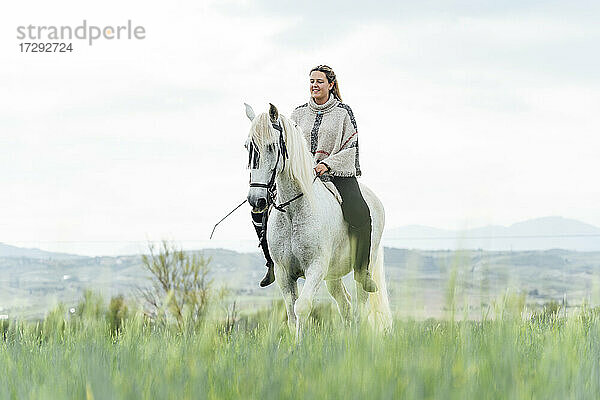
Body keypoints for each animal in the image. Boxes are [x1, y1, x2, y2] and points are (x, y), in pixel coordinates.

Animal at [245, 102, 394, 338]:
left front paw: (300, 344)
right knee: (345, 305)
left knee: (361, 305)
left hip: (362, 268)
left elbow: (302, 307)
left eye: (271, 146)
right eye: (248, 147)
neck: (293, 211)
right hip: (333, 274)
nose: (256, 200)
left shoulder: (316, 267)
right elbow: (291, 313)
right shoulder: (284, 273)